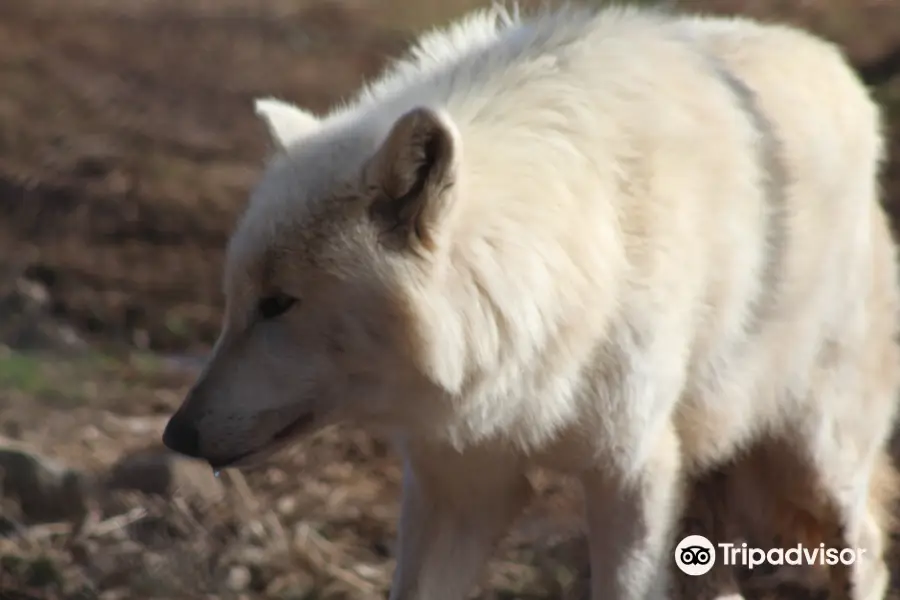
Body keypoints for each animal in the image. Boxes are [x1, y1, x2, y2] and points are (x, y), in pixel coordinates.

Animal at [162, 4, 900, 600]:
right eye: (235, 300)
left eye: (279, 303)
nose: (176, 436)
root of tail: (844, 76)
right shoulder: (457, 480)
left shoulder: (633, 473)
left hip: (810, 466)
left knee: (868, 551)